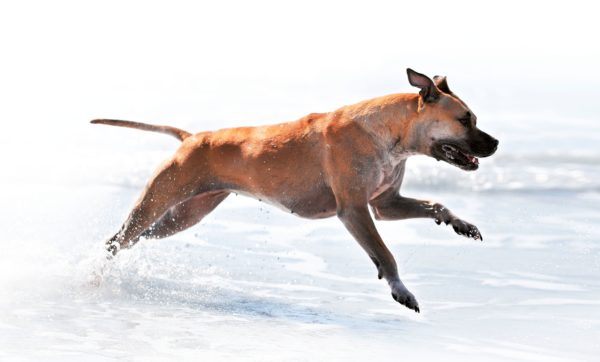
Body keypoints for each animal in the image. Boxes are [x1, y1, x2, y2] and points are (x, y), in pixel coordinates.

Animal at [92, 69, 496, 312]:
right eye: (465, 120)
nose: (495, 143)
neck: (387, 132)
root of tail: (192, 137)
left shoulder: (386, 204)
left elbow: (436, 205)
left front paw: (460, 224)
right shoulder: (354, 210)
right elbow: (385, 254)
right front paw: (401, 289)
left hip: (184, 215)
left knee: (137, 237)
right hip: (159, 199)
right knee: (117, 238)